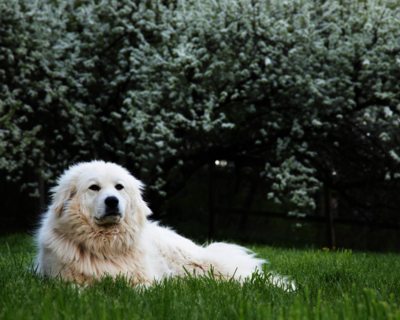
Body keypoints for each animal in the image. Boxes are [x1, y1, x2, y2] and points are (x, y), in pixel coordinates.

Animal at [36, 161, 284, 286]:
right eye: (94, 188)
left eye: (119, 187)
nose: (112, 201)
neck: (106, 246)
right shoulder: (64, 282)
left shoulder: (146, 281)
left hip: (204, 265)